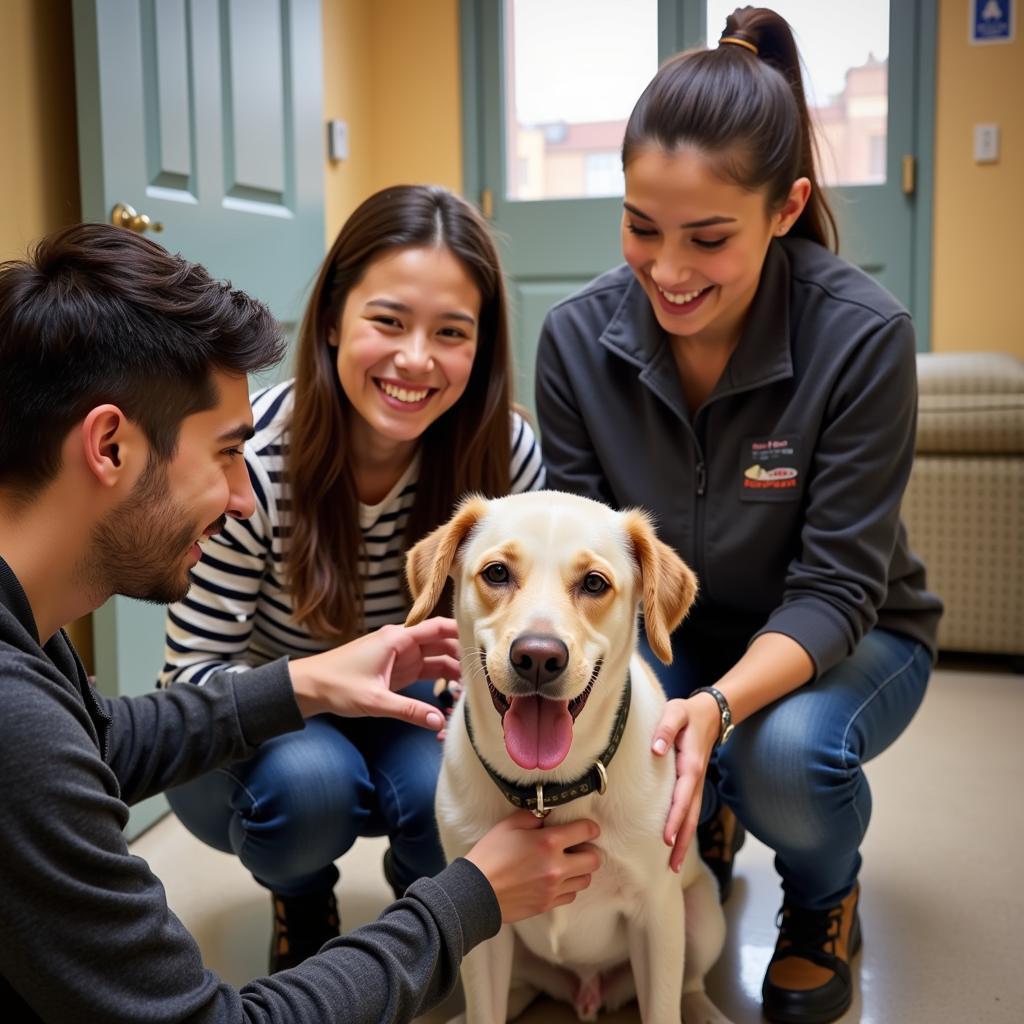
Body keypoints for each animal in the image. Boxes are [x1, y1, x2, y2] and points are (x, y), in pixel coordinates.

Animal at [403, 491, 733, 1019]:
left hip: (701, 916)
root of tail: (586, 990)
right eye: (497, 573)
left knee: (690, 984)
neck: (548, 788)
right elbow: (485, 1012)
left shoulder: (658, 915)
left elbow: (662, 1007)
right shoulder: (481, 918)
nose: (538, 657)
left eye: (594, 583)